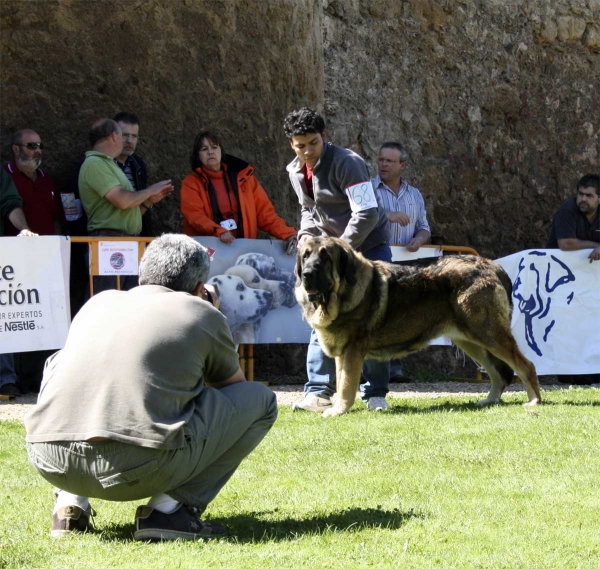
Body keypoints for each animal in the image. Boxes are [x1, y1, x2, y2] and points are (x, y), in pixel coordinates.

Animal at [296, 235, 544, 418]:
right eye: (306, 256)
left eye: (325, 257)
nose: (306, 274)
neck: (340, 295)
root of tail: (493, 266)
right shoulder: (343, 353)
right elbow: (341, 383)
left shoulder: (352, 351)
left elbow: (346, 385)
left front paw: (338, 411)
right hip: (471, 341)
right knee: (498, 374)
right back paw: (490, 401)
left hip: (489, 334)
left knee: (526, 365)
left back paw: (533, 401)